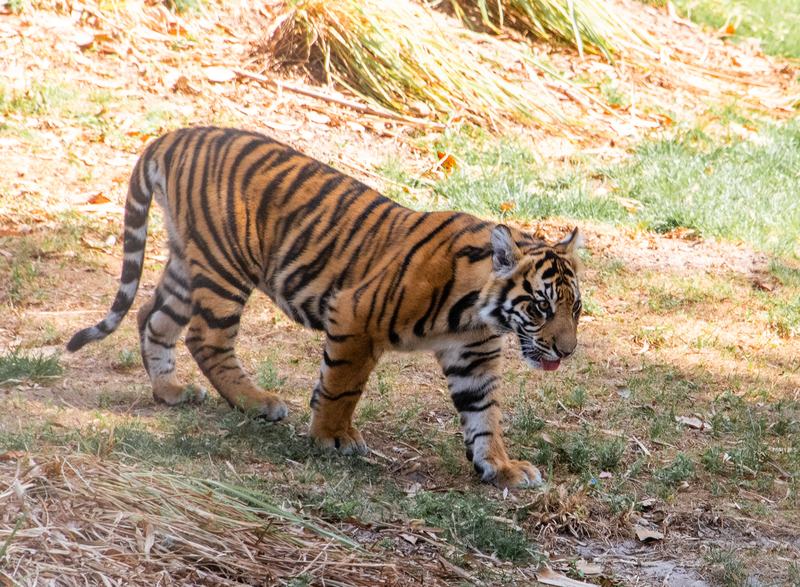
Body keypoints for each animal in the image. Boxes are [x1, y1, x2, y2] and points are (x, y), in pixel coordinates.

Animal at [67, 126, 582, 488]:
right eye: (540, 306)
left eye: (575, 310)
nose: (568, 351)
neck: (476, 313)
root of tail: (174, 135)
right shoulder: (356, 319)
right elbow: (342, 386)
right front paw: (332, 436)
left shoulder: (472, 357)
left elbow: (484, 416)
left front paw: (501, 468)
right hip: (224, 265)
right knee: (205, 336)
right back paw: (258, 402)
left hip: (189, 262)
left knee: (152, 317)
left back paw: (170, 390)